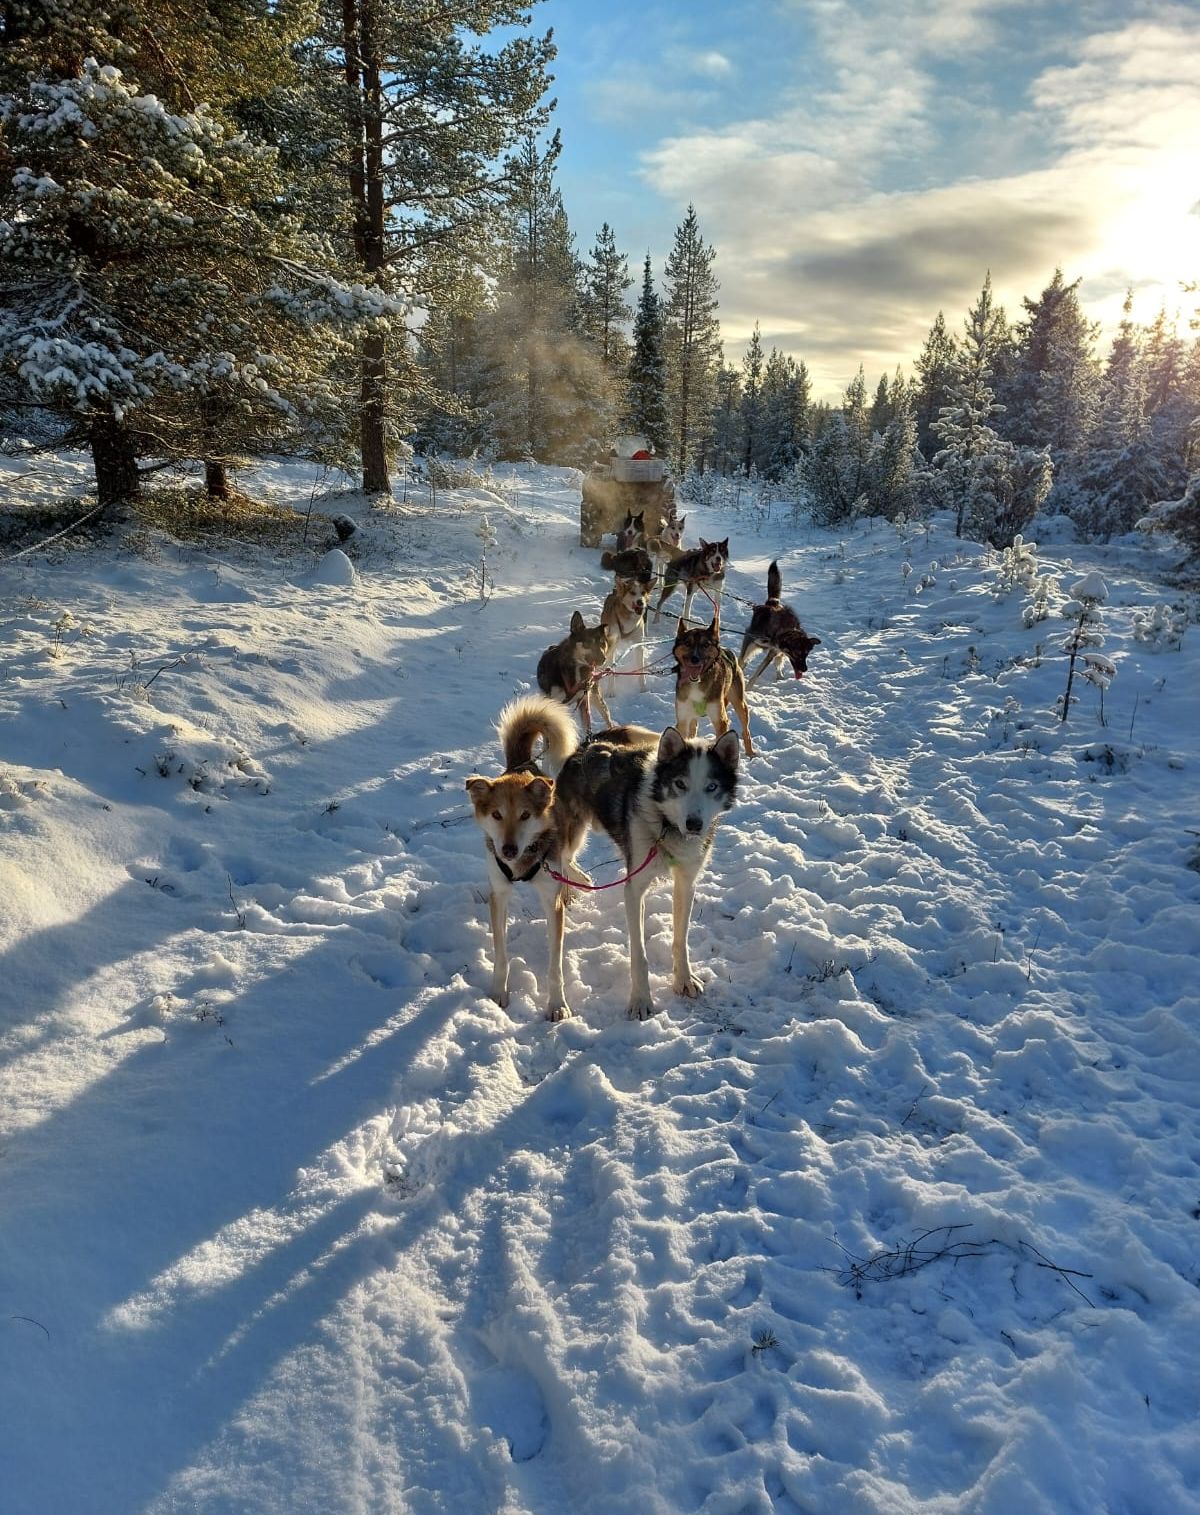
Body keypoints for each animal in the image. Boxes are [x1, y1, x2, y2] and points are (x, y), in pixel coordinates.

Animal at [669, 609, 754, 757]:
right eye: (687, 643)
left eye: (706, 645)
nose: (695, 659)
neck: (697, 683)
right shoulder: (683, 718)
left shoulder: (720, 720)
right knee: (693, 727)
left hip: (739, 702)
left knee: (746, 730)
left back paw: (750, 754)